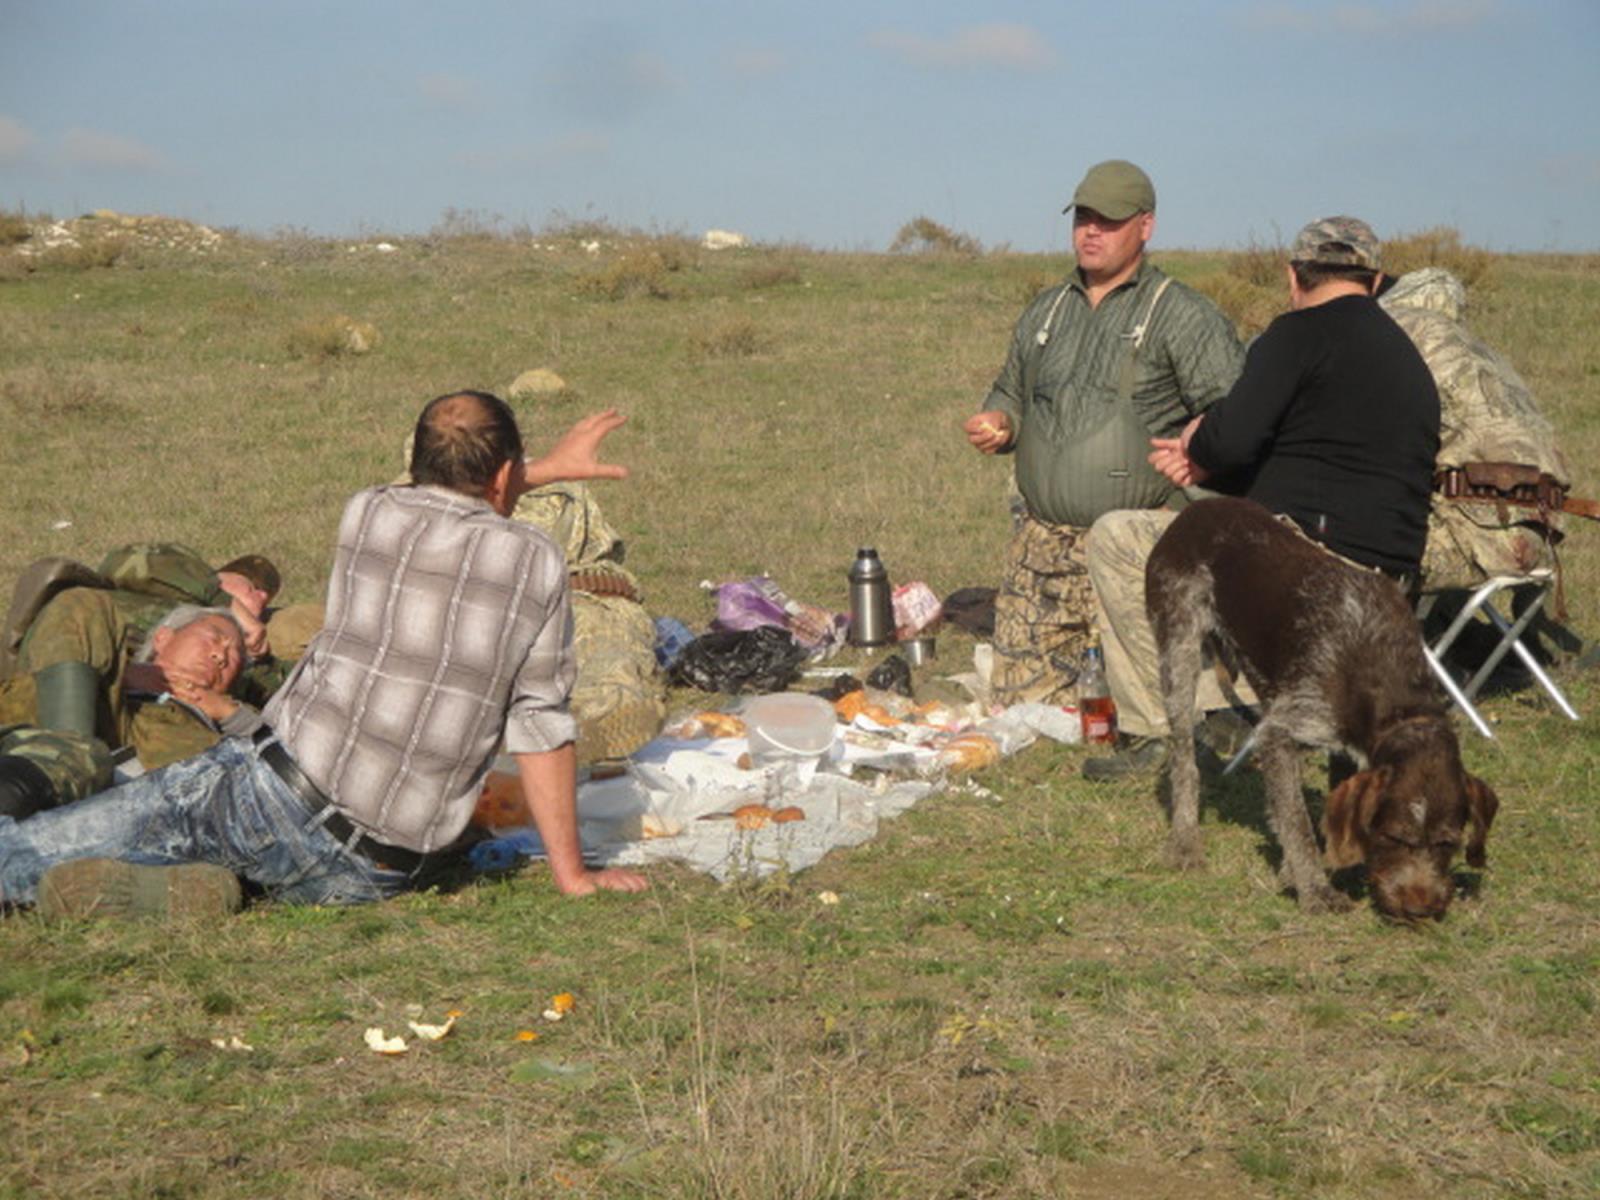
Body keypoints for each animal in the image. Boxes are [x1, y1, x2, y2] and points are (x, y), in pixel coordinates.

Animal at [1145, 497, 1497, 919]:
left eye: (1447, 843)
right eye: (1395, 837)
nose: (1419, 909)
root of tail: (1196, 508)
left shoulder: (1344, 747)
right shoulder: (1280, 733)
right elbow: (1297, 822)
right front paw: (1314, 889)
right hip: (1178, 652)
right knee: (1184, 760)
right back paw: (1185, 841)